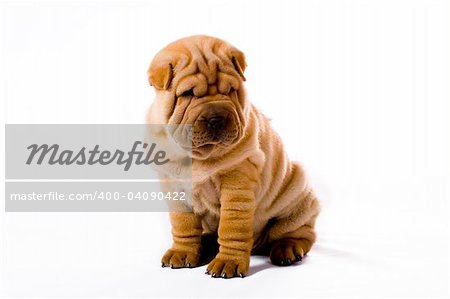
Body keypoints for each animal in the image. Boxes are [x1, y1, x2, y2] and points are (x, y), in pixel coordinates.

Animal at [147, 35, 320, 278]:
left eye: (230, 90)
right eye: (188, 94)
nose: (216, 119)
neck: (198, 156)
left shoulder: (237, 183)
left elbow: (232, 226)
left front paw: (227, 262)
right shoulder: (173, 184)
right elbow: (182, 223)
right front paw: (182, 252)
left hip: (298, 194)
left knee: (300, 232)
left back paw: (288, 248)